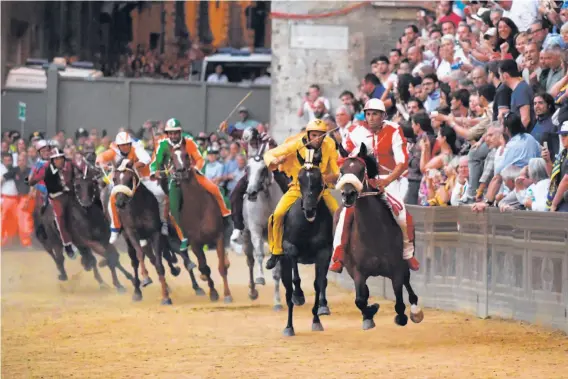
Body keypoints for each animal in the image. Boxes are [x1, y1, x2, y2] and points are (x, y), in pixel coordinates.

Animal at [169, 141, 233, 304]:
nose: (180, 171)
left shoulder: (218, 236)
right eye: (172, 158)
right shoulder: (195, 243)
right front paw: (213, 292)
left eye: (186, 155)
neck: (198, 208)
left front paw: (227, 294)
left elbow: (221, 267)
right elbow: (204, 267)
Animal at [242, 154, 284, 312]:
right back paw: (253, 291)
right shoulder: (255, 229)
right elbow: (259, 254)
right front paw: (260, 278)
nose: (251, 193)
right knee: (250, 261)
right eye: (247, 168)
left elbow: (277, 271)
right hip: (245, 236)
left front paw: (277, 302)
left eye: (263, 169)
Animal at [276, 153, 330, 336]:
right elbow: (295, 274)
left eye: (319, 179)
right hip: (283, 264)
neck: (307, 224)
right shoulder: (288, 246)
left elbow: (319, 283)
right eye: (299, 179)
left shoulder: (323, 253)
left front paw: (317, 318)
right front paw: (299, 295)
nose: (309, 209)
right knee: (287, 293)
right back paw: (288, 326)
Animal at [338, 145, 422, 330]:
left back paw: (415, 310)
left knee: (407, 282)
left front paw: (403, 316)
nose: (348, 194)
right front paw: (371, 312)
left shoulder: (396, 268)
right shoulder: (357, 271)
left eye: (361, 170)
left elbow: (399, 303)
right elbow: (360, 300)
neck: (373, 235)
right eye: (341, 170)